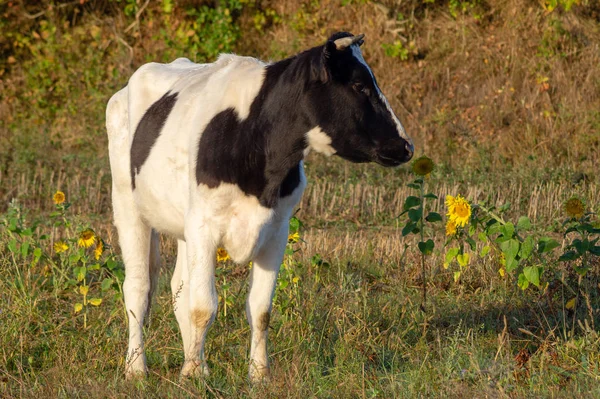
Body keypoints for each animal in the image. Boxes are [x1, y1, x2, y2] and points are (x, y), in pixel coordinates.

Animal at [106, 32, 412, 382]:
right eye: (359, 85)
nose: (406, 146)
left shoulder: (276, 231)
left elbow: (260, 308)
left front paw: (257, 373)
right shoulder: (204, 226)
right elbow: (203, 306)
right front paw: (194, 374)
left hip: (183, 225)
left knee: (178, 288)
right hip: (127, 203)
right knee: (138, 288)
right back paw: (136, 368)